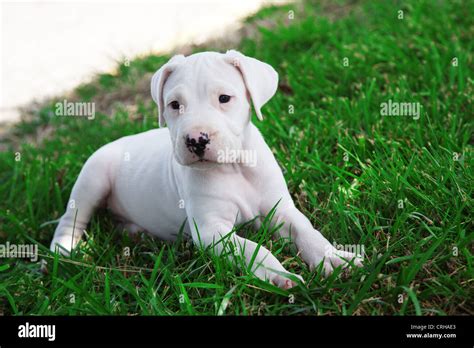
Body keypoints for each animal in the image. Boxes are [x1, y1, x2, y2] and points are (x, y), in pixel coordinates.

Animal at [51, 49, 362, 288]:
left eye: (224, 98)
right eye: (174, 105)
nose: (196, 140)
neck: (234, 167)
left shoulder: (280, 209)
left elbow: (305, 229)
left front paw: (332, 257)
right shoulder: (211, 230)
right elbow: (252, 248)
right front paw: (276, 274)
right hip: (92, 177)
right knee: (72, 217)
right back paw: (62, 251)